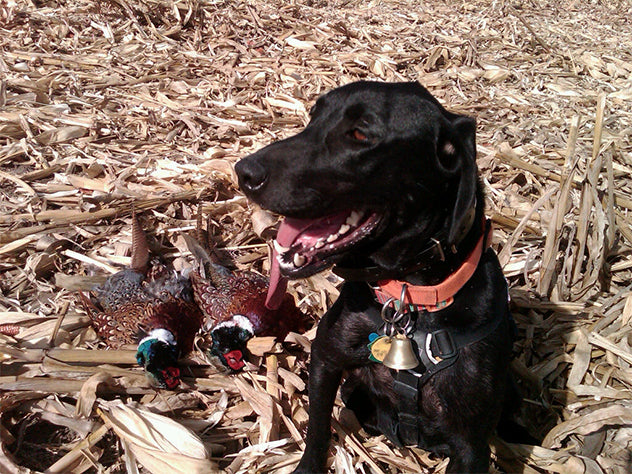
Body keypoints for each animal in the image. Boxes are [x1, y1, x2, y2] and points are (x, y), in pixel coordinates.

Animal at [235, 81, 516, 473]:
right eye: (313, 117)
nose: (243, 172)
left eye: (359, 134)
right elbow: (317, 429)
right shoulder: (325, 360)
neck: (412, 302)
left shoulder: (471, 445)